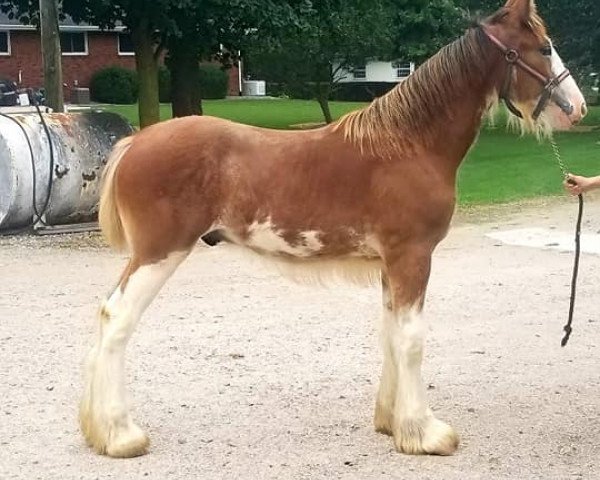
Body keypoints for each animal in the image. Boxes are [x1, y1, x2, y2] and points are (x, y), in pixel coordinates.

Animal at [79, 0, 584, 458]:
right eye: (544, 48)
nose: (577, 108)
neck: (410, 144)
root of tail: (135, 142)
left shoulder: (390, 264)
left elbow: (390, 334)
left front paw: (391, 422)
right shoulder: (413, 256)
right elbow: (412, 340)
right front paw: (424, 433)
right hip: (159, 252)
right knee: (117, 318)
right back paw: (121, 436)